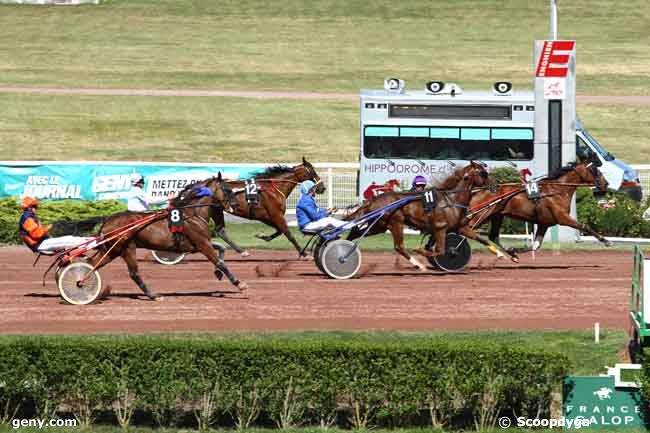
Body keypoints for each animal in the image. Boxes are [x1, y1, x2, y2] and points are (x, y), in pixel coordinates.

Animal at [88, 173, 246, 300]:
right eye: (227, 189)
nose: (236, 205)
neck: (192, 214)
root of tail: (107, 220)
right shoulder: (202, 244)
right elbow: (220, 263)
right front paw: (240, 284)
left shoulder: (198, 244)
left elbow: (222, 249)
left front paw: (218, 273)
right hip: (127, 248)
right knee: (133, 273)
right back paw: (153, 295)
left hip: (113, 250)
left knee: (92, 263)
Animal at [346, 162, 504, 270]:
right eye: (483, 173)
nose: (496, 185)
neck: (452, 200)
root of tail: (373, 200)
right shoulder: (440, 228)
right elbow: (440, 251)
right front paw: (420, 251)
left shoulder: (460, 227)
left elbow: (480, 238)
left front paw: (500, 254)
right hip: (395, 222)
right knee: (399, 247)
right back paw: (418, 265)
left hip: (379, 225)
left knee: (354, 233)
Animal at [466, 159, 608, 258]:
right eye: (595, 170)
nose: (606, 183)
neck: (557, 190)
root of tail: (479, 191)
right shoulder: (562, 218)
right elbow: (585, 226)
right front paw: (606, 241)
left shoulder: (544, 223)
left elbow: (535, 245)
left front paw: (514, 251)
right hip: (482, 215)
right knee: (470, 229)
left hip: (496, 216)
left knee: (493, 236)